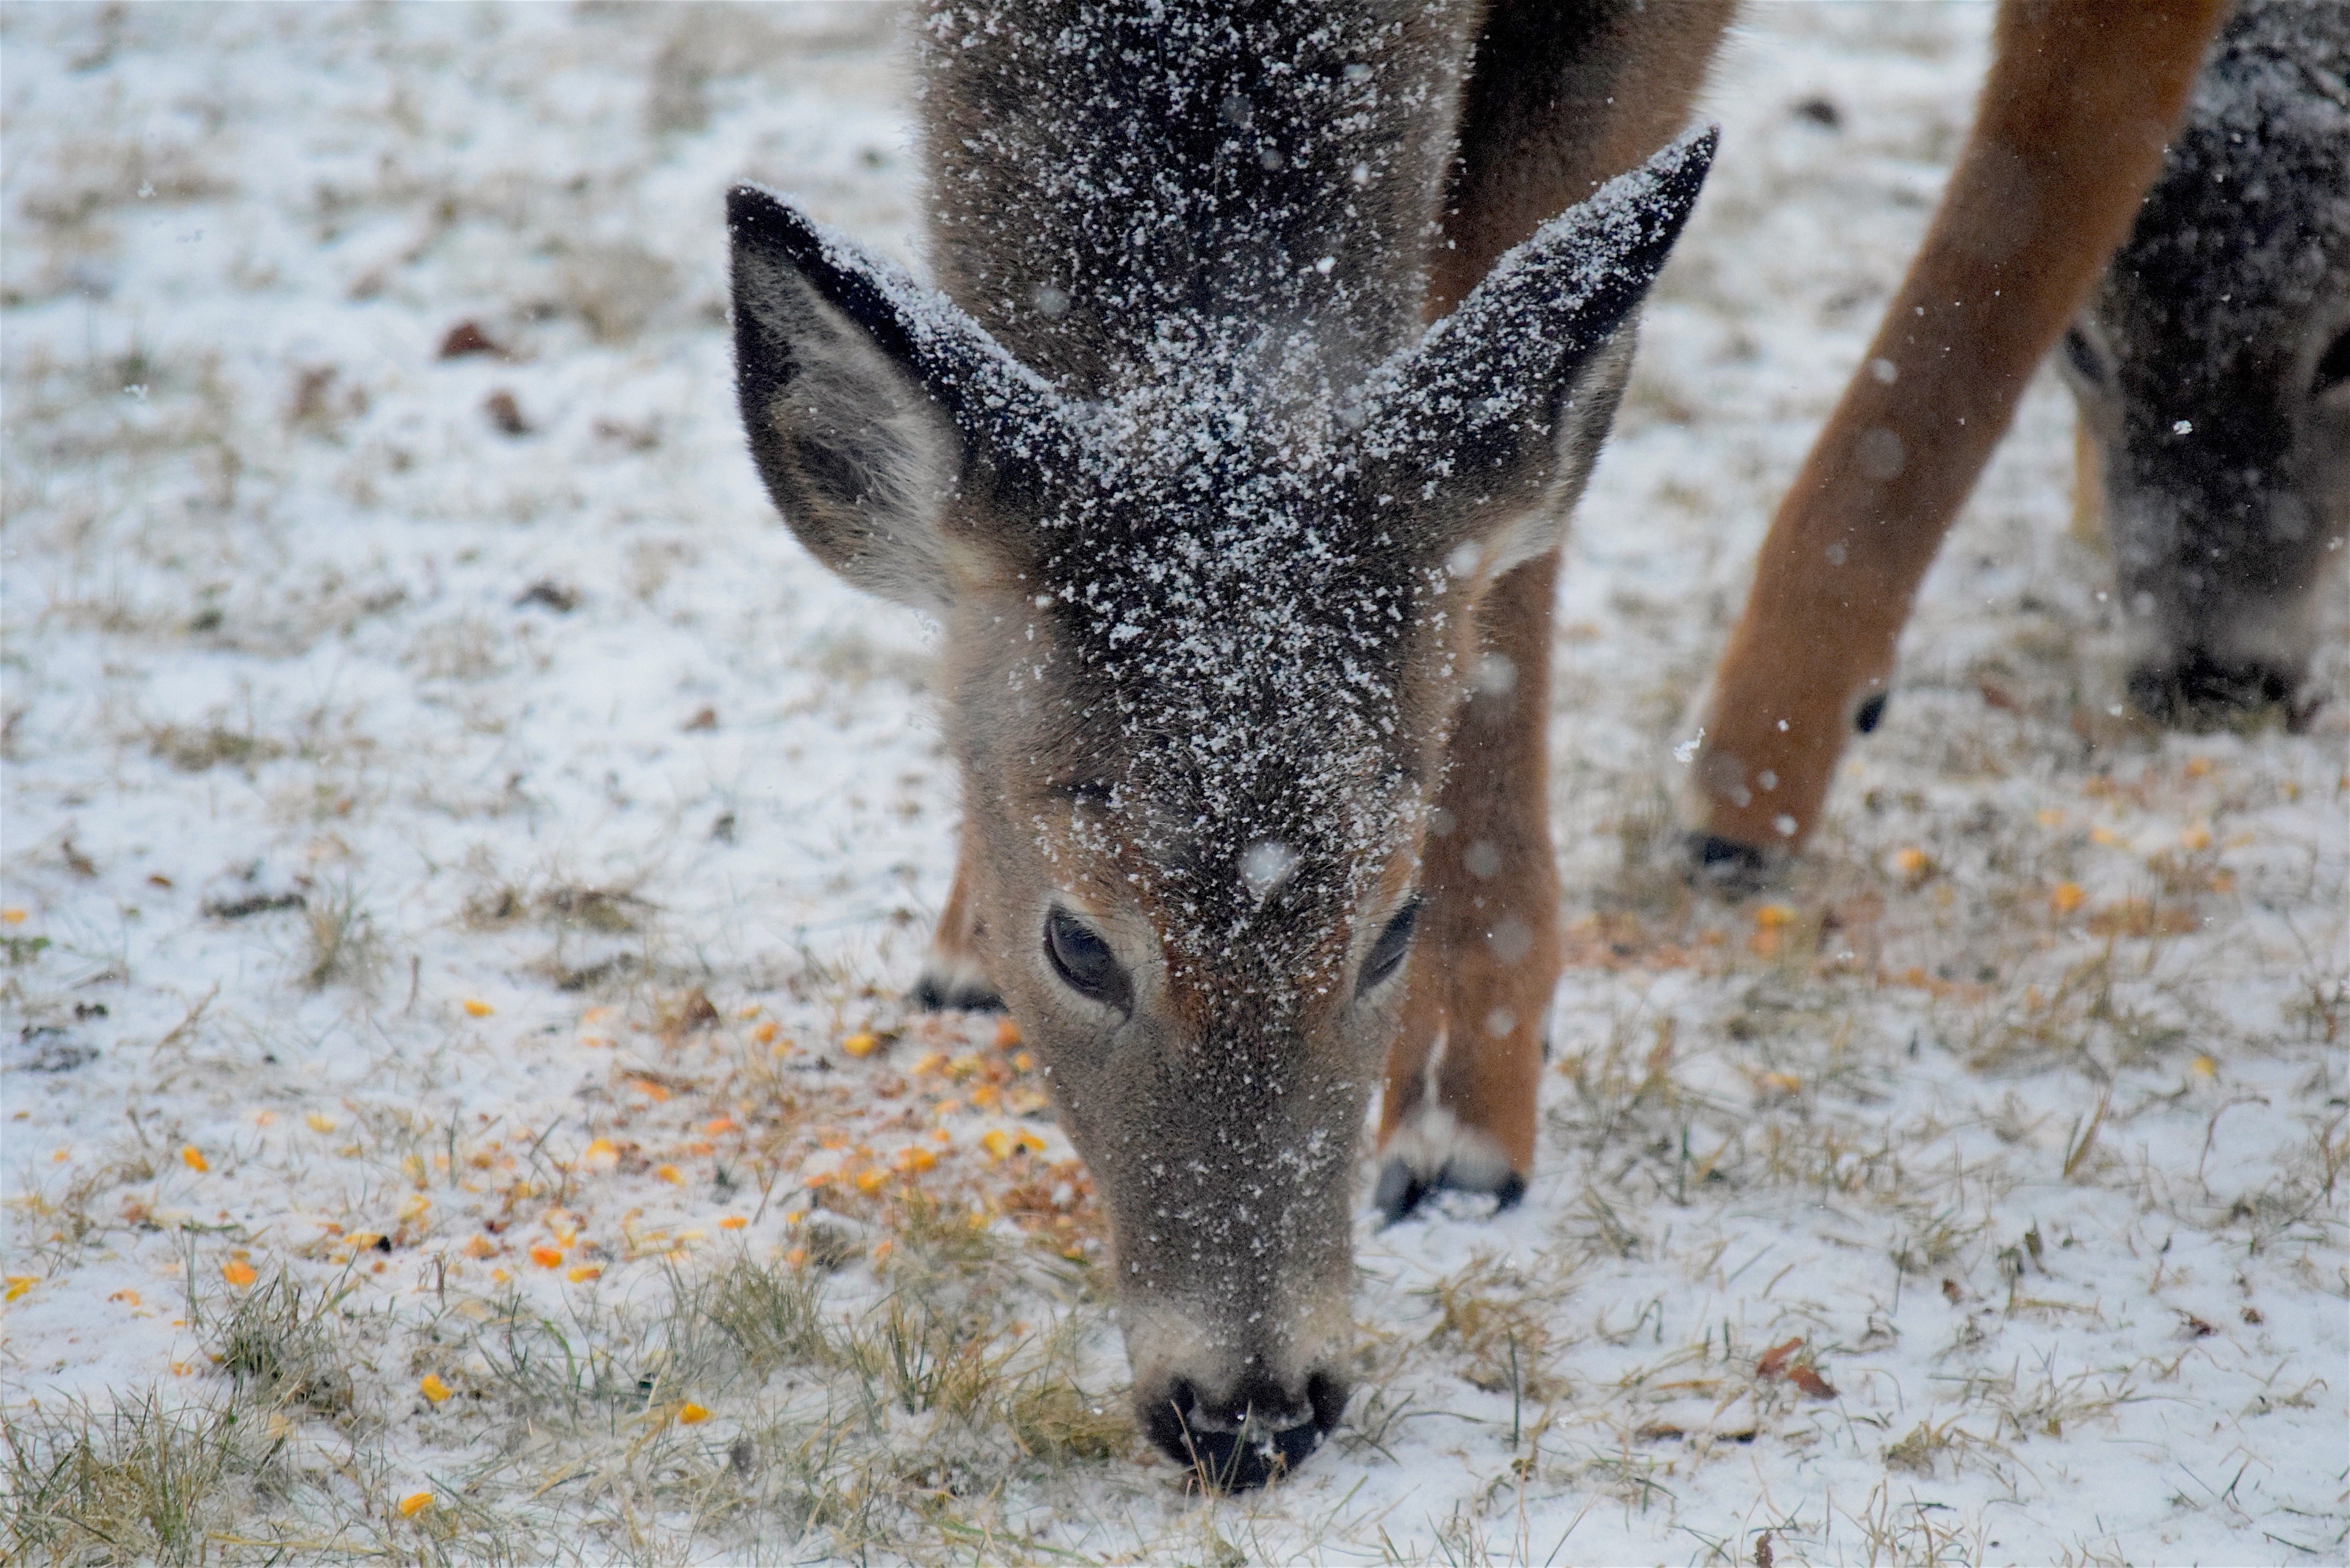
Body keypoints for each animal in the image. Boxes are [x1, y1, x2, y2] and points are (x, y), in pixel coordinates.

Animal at [731, 0, 2231, 1487]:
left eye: (1394, 924)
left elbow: (1497, 497)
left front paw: (1466, 1099)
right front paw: (960, 929)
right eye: (1078, 944)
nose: (1255, 1413)